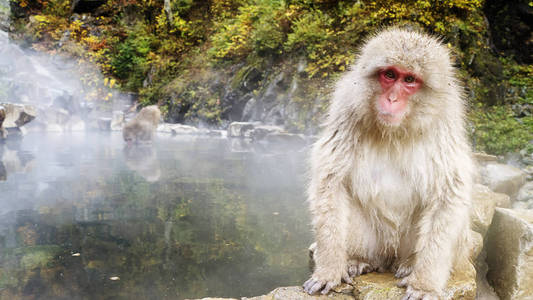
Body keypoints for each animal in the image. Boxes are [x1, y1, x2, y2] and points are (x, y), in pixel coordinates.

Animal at [304, 26, 474, 300]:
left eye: (409, 80)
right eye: (390, 75)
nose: (392, 98)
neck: (395, 131)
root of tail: (388, 256)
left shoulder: (445, 122)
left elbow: (449, 193)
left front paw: (425, 284)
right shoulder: (346, 107)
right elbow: (331, 182)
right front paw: (329, 269)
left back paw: (409, 264)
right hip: (376, 242)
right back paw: (358, 259)